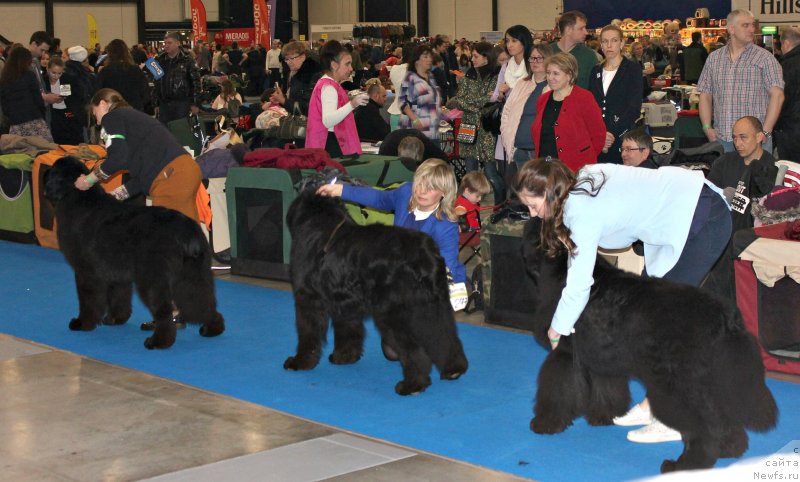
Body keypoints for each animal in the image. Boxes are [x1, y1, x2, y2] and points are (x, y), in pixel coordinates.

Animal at [45, 156, 223, 348]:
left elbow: (88, 300)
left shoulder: (86, 271)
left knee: (164, 311)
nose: (45, 171)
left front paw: (83, 323)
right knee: (203, 300)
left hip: (153, 278)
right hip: (193, 276)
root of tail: (187, 231)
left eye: (54, 169)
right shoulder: (115, 271)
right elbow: (119, 296)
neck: (78, 199)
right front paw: (115, 319)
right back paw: (212, 328)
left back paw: (158, 341)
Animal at [284, 190, 468, 394]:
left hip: (395, 313)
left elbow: (308, 334)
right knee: (444, 336)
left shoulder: (308, 299)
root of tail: (423, 254)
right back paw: (453, 369)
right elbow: (348, 330)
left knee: (414, 350)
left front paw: (301, 362)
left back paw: (413, 384)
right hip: (433, 307)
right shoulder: (344, 301)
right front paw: (345, 357)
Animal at [520, 219, 780, 474]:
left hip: (680, 386)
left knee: (704, 426)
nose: (523, 251)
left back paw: (684, 465)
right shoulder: (602, 358)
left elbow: (557, 390)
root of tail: (726, 317)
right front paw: (604, 416)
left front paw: (545, 423)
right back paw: (729, 449)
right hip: (708, 383)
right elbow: (606, 389)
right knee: (721, 417)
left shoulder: (564, 353)